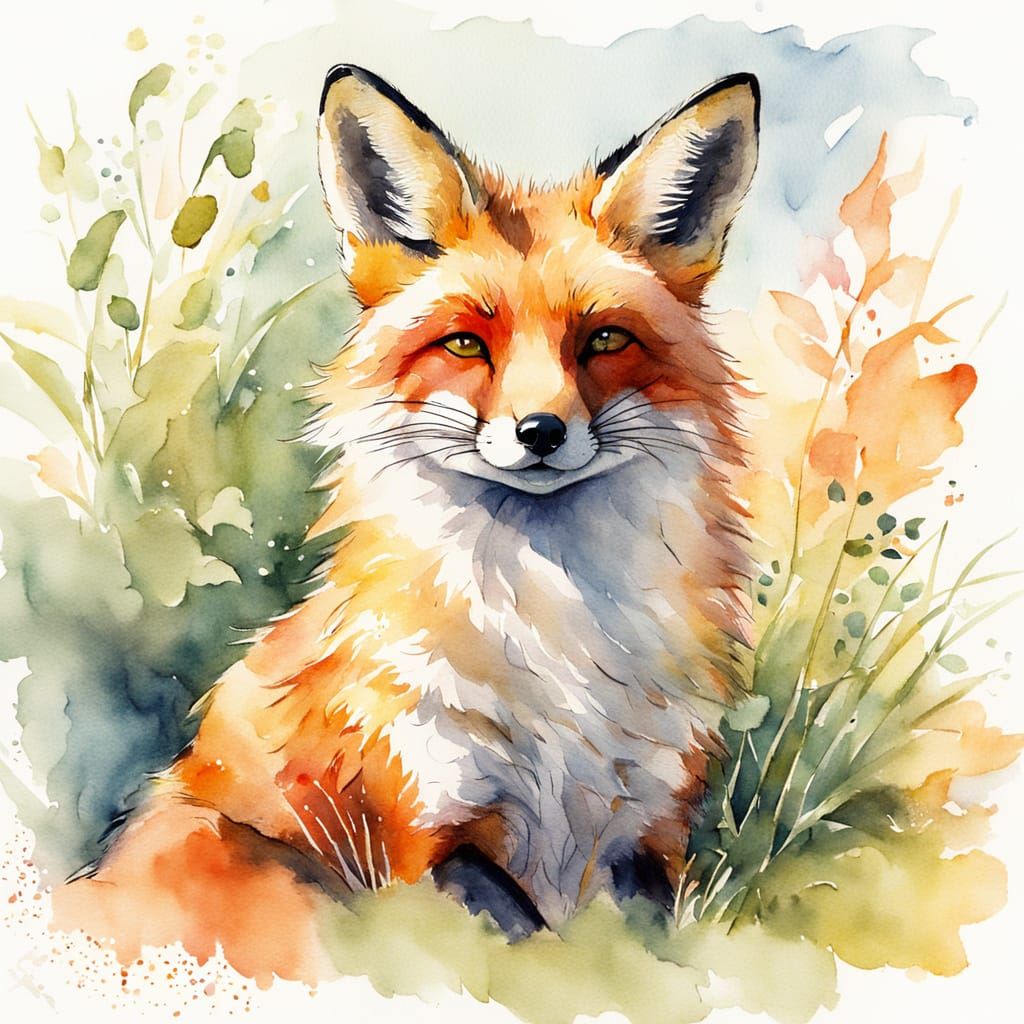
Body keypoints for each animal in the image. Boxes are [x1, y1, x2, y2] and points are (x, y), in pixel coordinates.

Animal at [55, 65, 759, 982]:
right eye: (464, 345)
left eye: (604, 339)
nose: (541, 431)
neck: (555, 644)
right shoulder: (430, 826)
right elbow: (522, 961)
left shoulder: (649, 831)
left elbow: (641, 965)